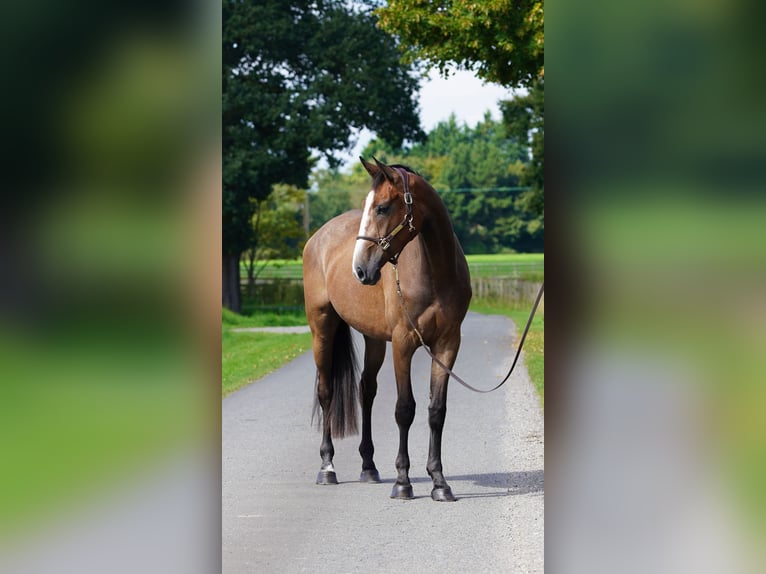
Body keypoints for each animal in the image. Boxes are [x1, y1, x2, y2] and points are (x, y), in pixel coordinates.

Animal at [302, 158, 472, 504]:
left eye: (381, 208)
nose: (360, 270)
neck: (434, 273)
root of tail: (318, 237)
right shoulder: (403, 344)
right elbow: (405, 409)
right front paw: (403, 482)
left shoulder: (448, 344)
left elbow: (436, 411)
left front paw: (439, 482)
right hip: (322, 327)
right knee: (326, 391)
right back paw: (327, 468)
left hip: (374, 339)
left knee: (366, 389)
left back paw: (369, 467)